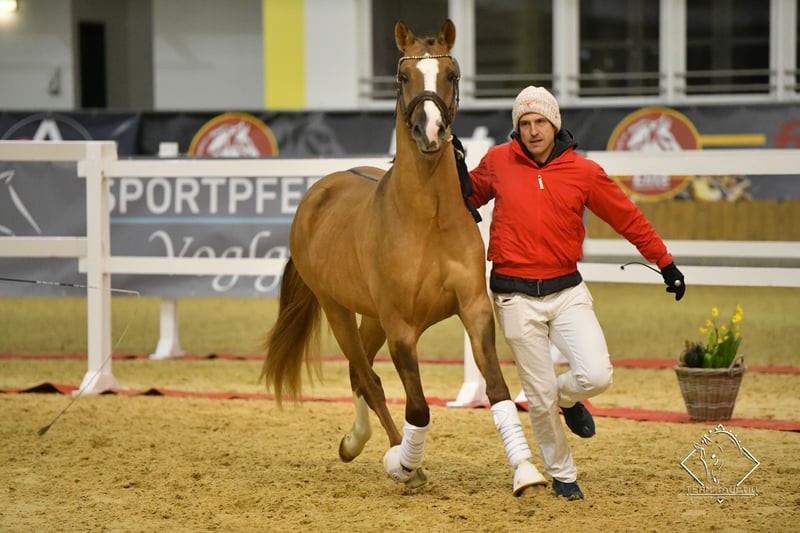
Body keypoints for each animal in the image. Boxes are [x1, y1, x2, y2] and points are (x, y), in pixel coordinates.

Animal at [261, 19, 547, 495]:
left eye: (451, 75)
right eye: (401, 76)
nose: (429, 132)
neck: (426, 219)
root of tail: (319, 192)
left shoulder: (473, 309)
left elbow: (496, 388)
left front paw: (526, 473)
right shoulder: (401, 328)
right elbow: (418, 407)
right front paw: (406, 466)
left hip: (370, 317)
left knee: (359, 374)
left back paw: (354, 443)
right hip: (338, 310)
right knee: (368, 377)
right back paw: (389, 455)